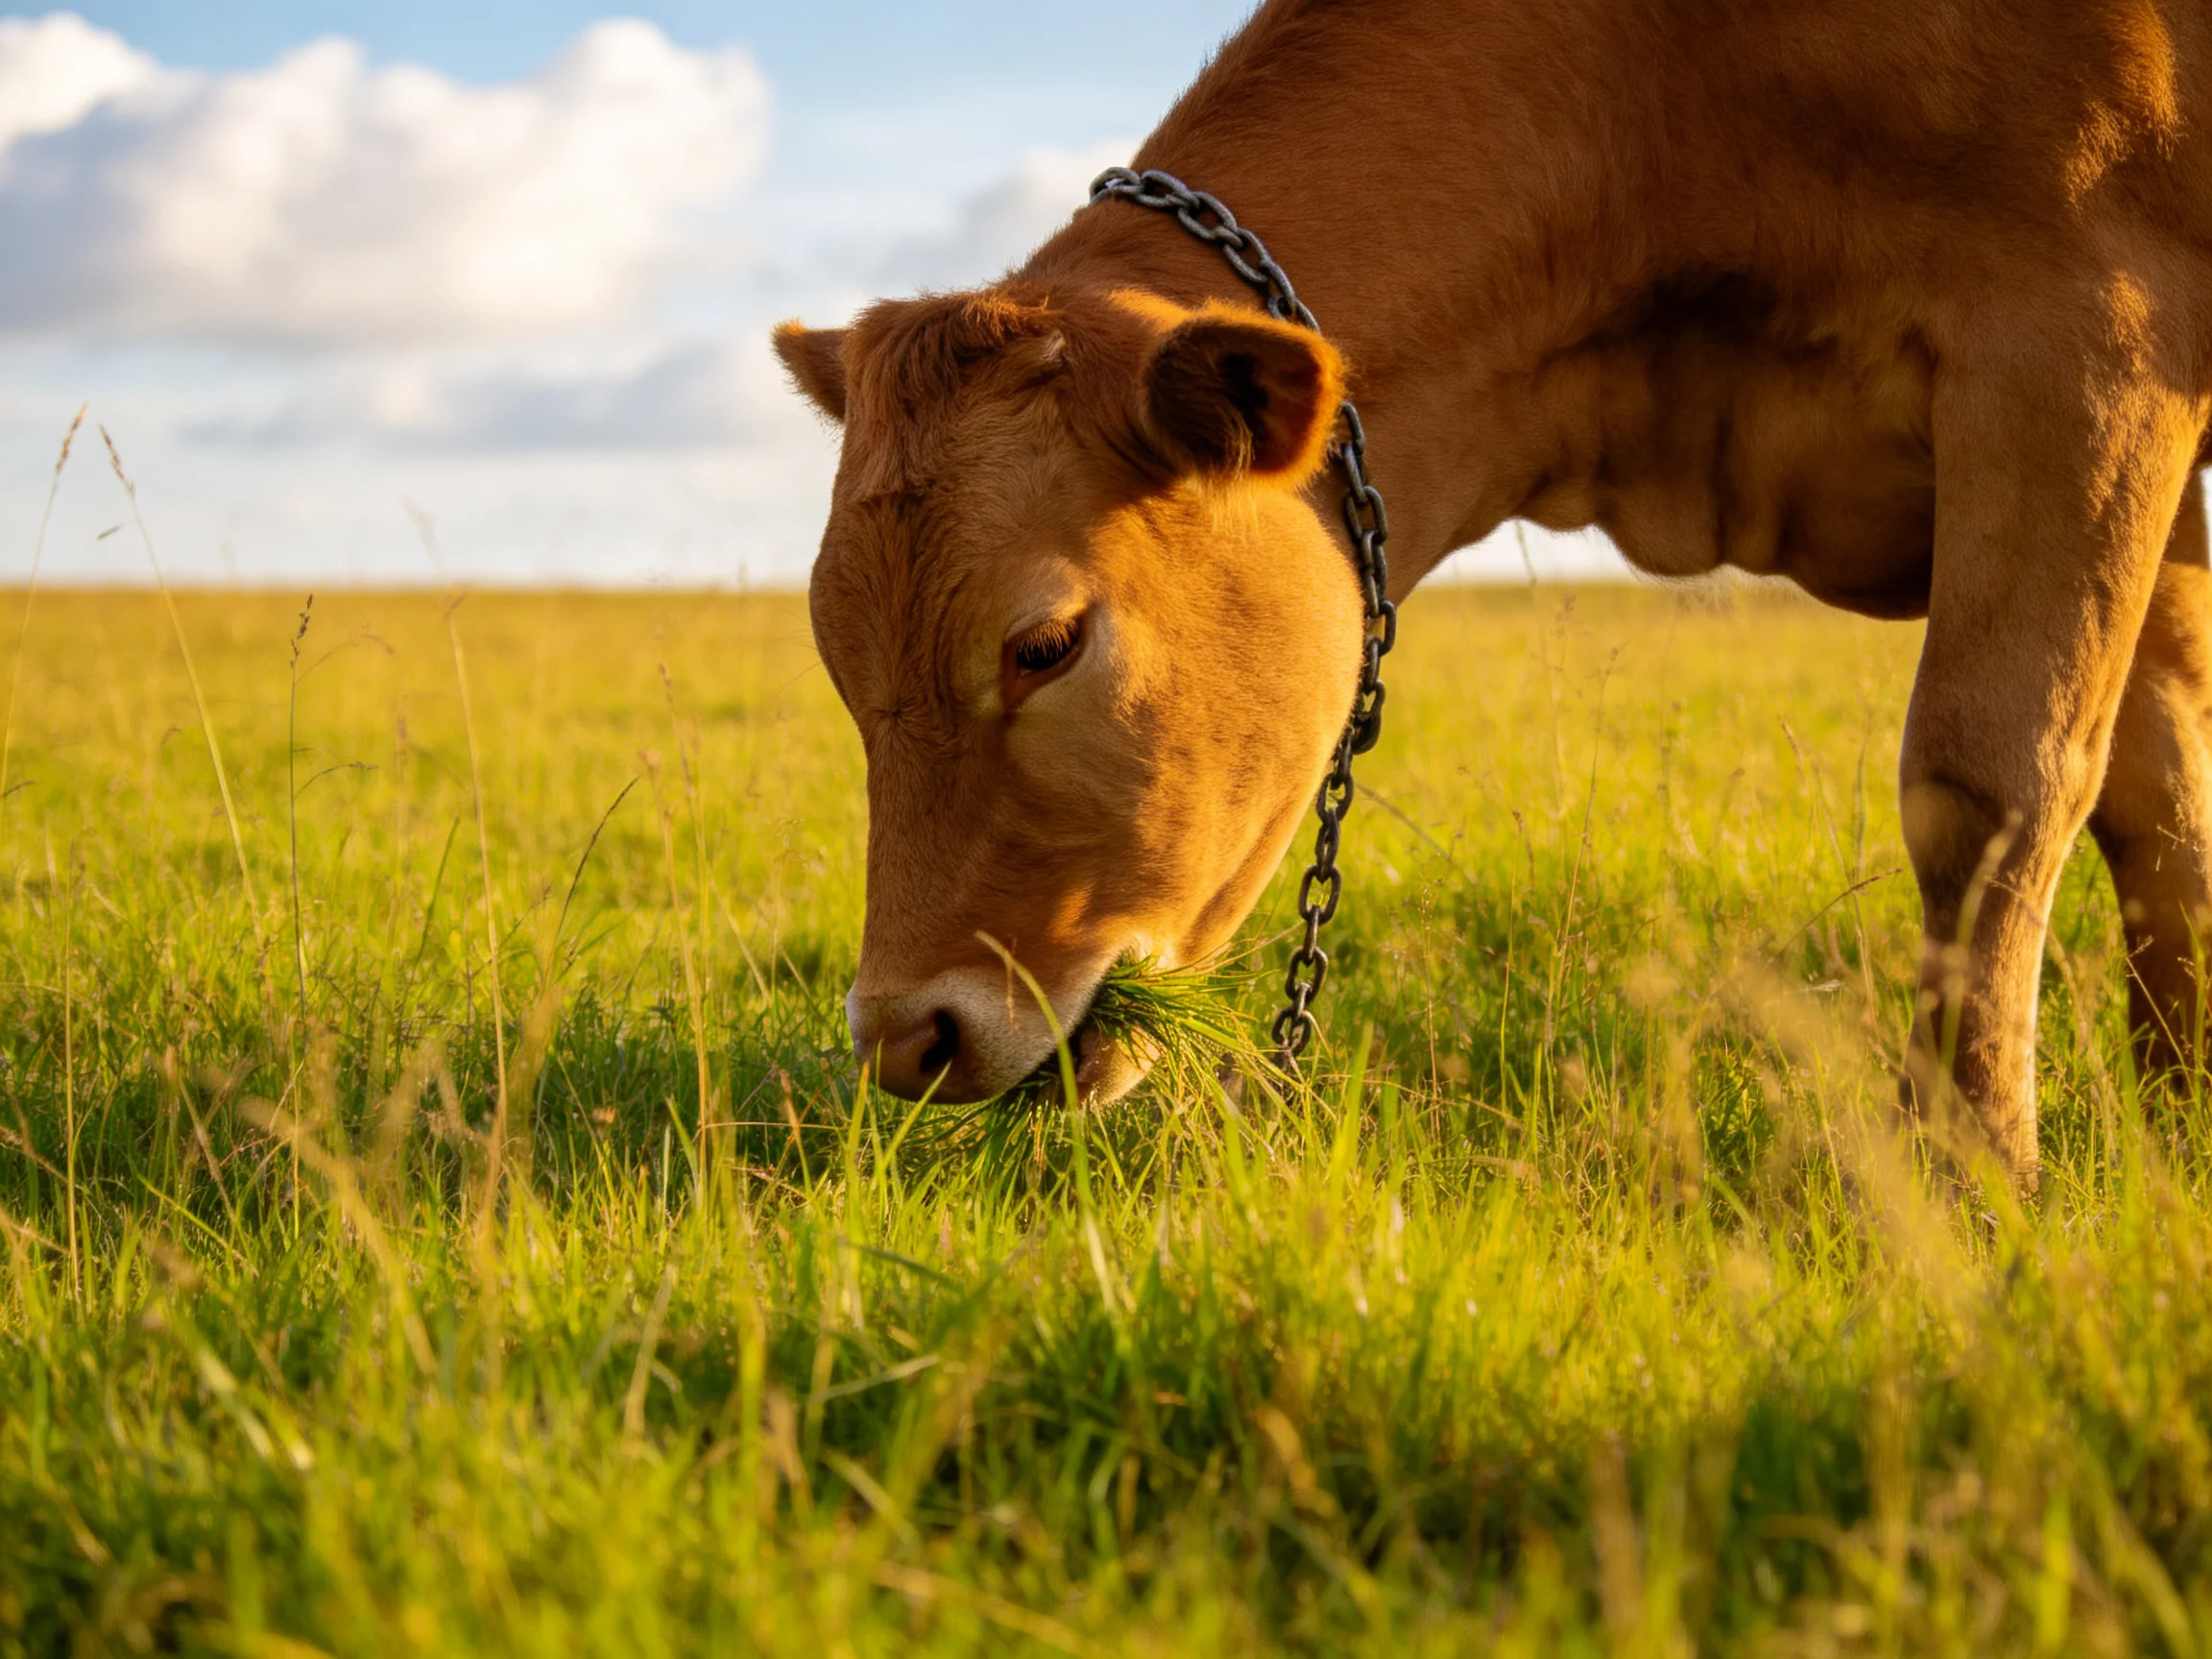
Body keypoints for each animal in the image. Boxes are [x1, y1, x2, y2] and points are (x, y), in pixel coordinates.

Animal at [774, 0, 2212, 1186]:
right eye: (839, 669)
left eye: (1047, 645)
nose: (904, 1038)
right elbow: (2162, 792)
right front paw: (2182, 1119)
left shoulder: (2085, 344)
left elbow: (1997, 785)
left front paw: (1975, 1174)